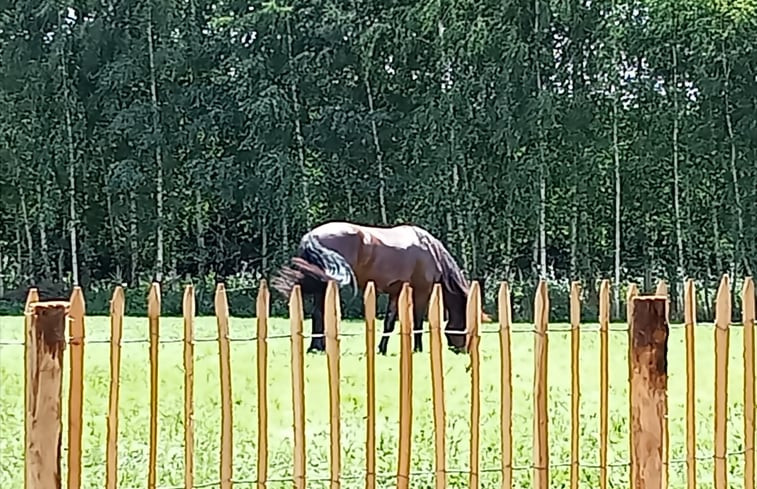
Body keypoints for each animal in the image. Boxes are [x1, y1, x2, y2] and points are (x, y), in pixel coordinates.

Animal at [272, 221, 490, 354]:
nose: (463, 350)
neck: (430, 250)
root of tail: (312, 236)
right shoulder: (422, 291)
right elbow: (418, 322)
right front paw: (417, 349)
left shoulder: (396, 292)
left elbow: (389, 323)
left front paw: (381, 349)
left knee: (318, 314)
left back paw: (316, 348)